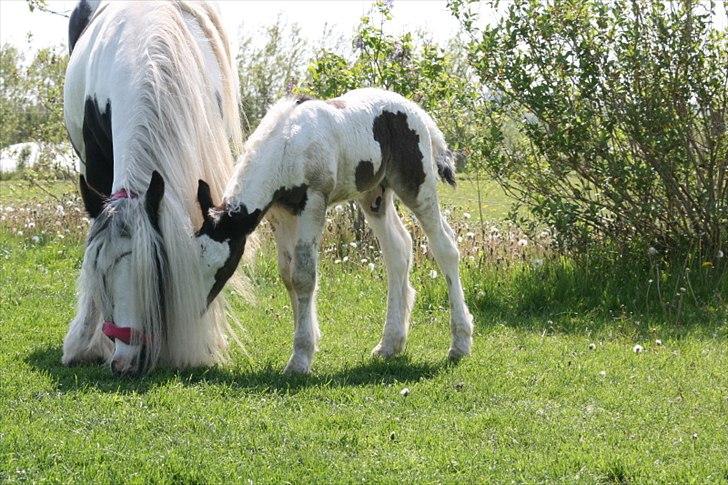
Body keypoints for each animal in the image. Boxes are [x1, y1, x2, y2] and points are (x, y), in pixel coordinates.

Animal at [62, 0, 245, 374]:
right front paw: (84, 342)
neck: (146, 52)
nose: (124, 362)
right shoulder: (94, 166)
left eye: (157, 271)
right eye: (100, 273)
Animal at [196, 88, 474, 374]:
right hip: (374, 196)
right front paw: (309, 340)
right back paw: (390, 344)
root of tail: (416, 111)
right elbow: (287, 274)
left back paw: (460, 343)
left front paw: (300, 358)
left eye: (221, 267)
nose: (196, 309)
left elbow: (303, 276)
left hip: (417, 187)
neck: (287, 144)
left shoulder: (314, 203)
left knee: (445, 248)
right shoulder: (281, 215)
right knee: (398, 250)